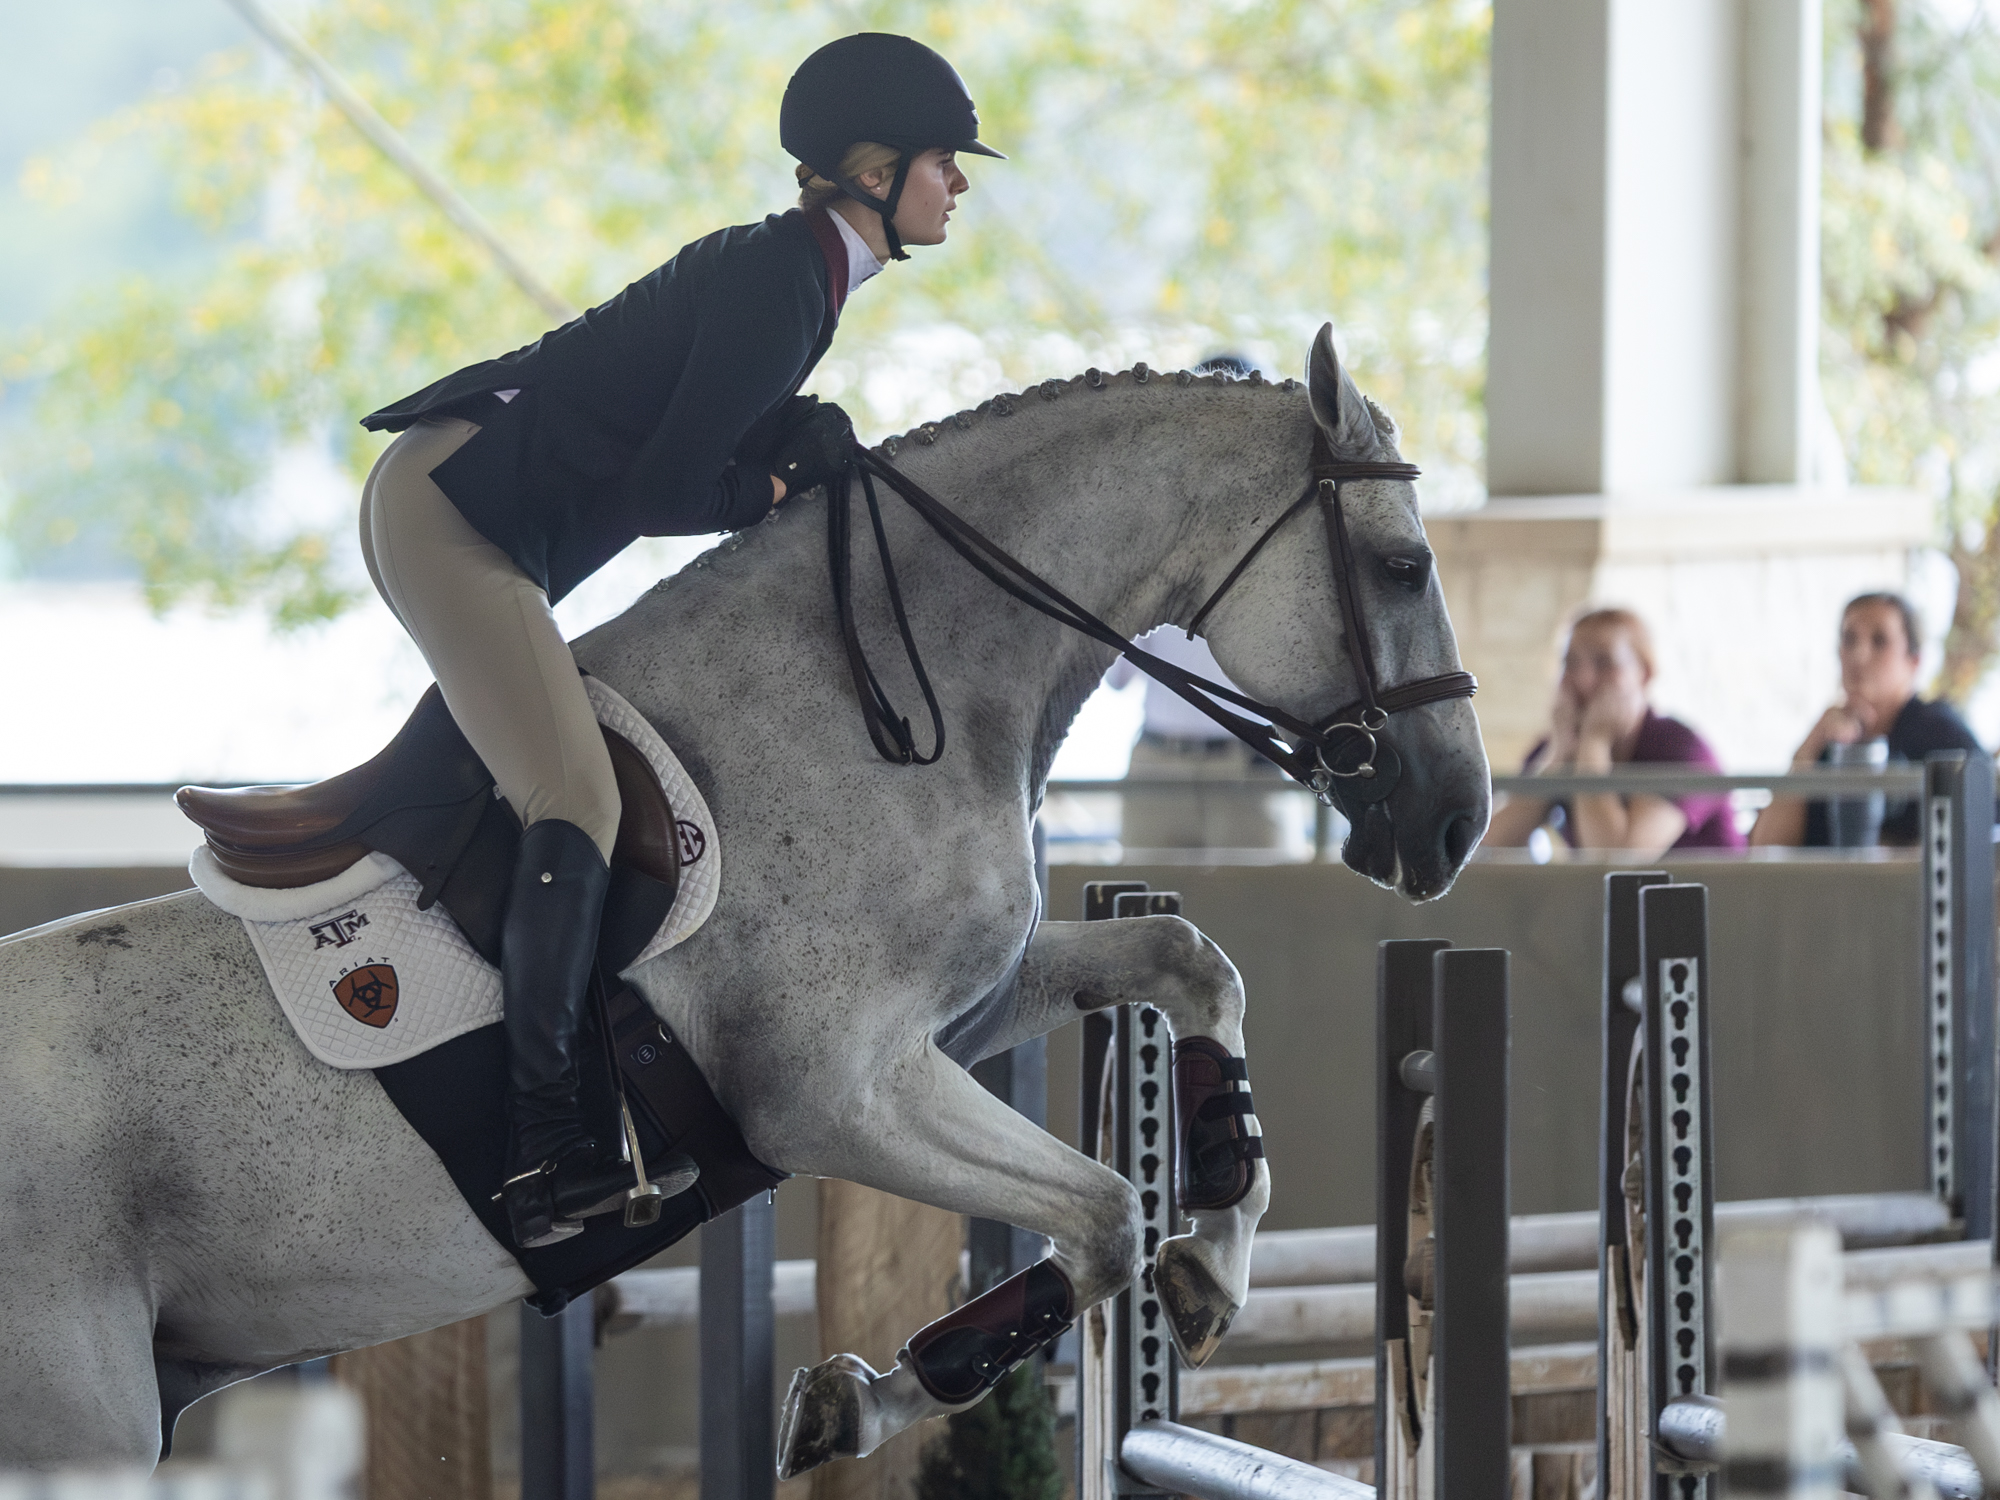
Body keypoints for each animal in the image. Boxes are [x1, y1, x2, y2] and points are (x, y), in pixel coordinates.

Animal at [0, 326, 1488, 1472]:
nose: (1456, 821)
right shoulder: (829, 1094)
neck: (870, 702)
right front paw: (873, 1397)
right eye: (1405, 566)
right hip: (83, 1426)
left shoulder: (951, 1018)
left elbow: (1187, 960)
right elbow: (1105, 1212)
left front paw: (1214, 1256)